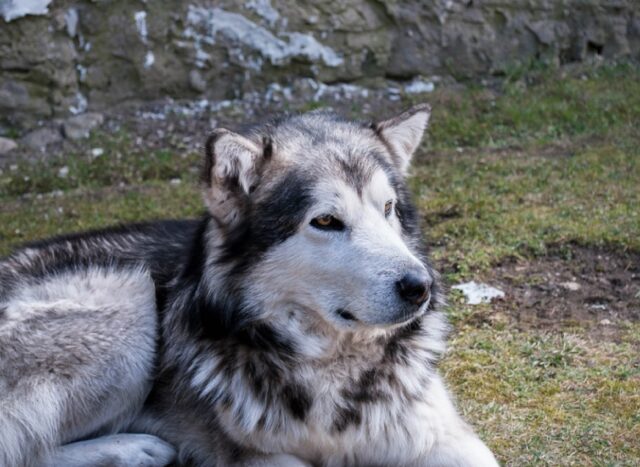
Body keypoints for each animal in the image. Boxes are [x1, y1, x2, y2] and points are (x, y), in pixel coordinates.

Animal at [0, 105, 498, 467]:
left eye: (388, 208)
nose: (421, 287)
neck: (332, 371)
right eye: (326, 221)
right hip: (131, 303)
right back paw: (134, 449)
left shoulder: (443, 436)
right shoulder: (253, 456)